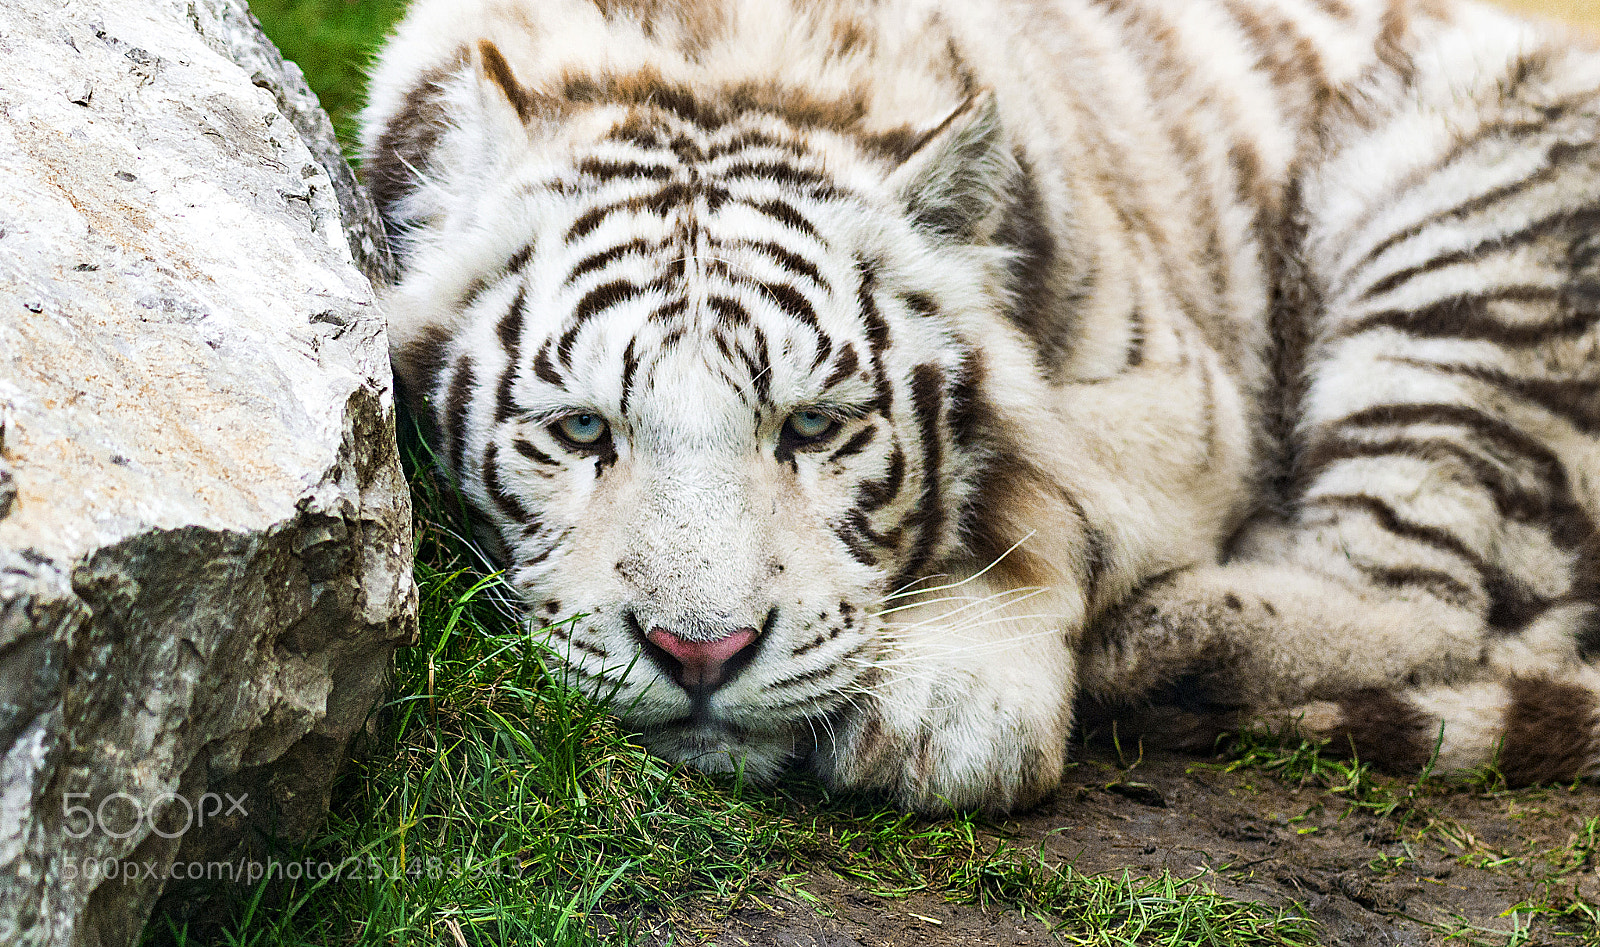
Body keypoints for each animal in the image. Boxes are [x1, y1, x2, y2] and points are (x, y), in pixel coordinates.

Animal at [360, 0, 1600, 813]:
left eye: (813, 426)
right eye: (581, 430)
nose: (699, 655)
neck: (710, 64)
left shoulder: (1176, 396)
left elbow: (1040, 493)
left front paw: (949, 706)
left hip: (1454, 263)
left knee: (1431, 601)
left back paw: (1153, 644)